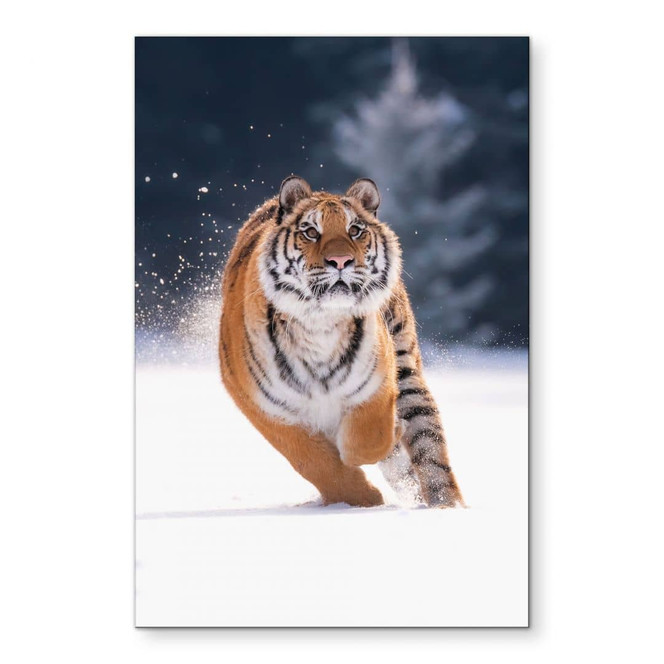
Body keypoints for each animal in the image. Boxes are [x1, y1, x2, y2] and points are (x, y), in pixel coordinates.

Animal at [219, 175, 464, 508]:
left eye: (355, 230)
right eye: (311, 232)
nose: (340, 261)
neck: (321, 322)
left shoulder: (377, 381)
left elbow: (368, 439)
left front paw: (390, 433)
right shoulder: (262, 404)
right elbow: (313, 460)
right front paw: (363, 498)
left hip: (407, 369)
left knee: (431, 450)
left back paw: (447, 507)